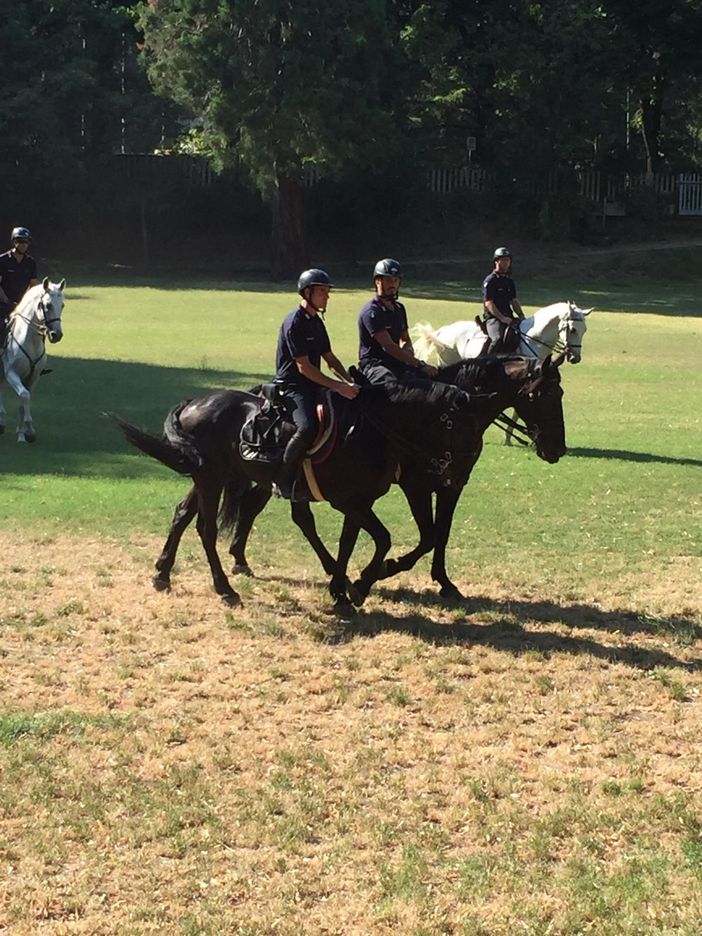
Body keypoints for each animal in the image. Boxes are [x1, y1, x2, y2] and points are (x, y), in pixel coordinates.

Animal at [0, 278, 66, 442]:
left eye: (62, 305)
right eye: (48, 305)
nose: (56, 335)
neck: (29, 341)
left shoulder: (33, 377)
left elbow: (23, 401)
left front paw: (22, 433)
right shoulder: (11, 373)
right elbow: (24, 395)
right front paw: (29, 431)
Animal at [112, 379, 479, 607]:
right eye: (457, 425)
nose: (457, 473)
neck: (370, 431)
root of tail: (194, 403)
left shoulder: (359, 501)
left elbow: (350, 543)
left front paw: (343, 589)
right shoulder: (349, 501)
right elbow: (383, 539)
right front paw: (360, 585)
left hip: (206, 477)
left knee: (182, 514)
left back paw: (162, 574)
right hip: (211, 478)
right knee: (206, 528)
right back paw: (225, 590)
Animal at [222, 354, 567, 603]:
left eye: (560, 392)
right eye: (543, 394)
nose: (557, 449)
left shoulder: (451, 485)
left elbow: (440, 534)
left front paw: (444, 583)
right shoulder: (416, 486)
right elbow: (427, 536)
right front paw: (382, 571)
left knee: (266, 508)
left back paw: (244, 558)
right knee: (270, 509)